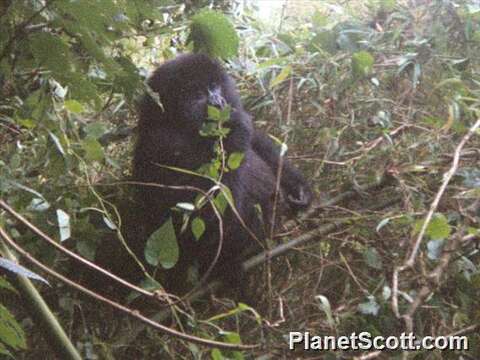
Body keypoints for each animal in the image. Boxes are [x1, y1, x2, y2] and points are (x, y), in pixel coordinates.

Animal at [131, 54, 312, 292]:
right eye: (196, 94)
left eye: (214, 85)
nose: (218, 102)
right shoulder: (160, 144)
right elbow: (199, 216)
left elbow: (256, 139)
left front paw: (299, 188)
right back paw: (229, 266)